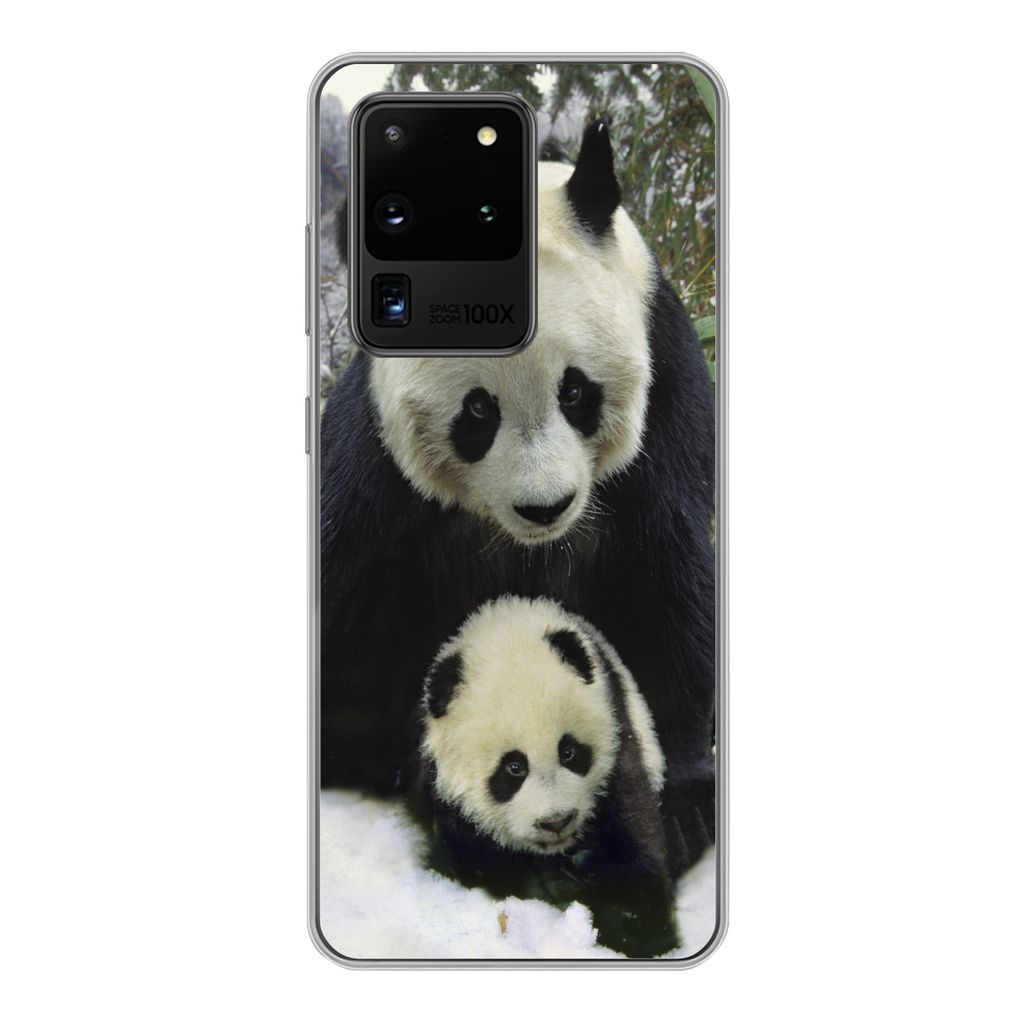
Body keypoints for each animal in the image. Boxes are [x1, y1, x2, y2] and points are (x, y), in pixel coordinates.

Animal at [320, 119, 716, 870]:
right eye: (478, 409)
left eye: (576, 391)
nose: (545, 507)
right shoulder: (376, 470)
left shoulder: (666, 417)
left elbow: (666, 586)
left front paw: (680, 807)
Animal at [417, 596, 681, 958]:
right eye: (514, 767)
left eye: (568, 751)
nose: (556, 821)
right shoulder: (450, 801)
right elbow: (477, 865)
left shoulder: (618, 744)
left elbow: (633, 838)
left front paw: (636, 928)